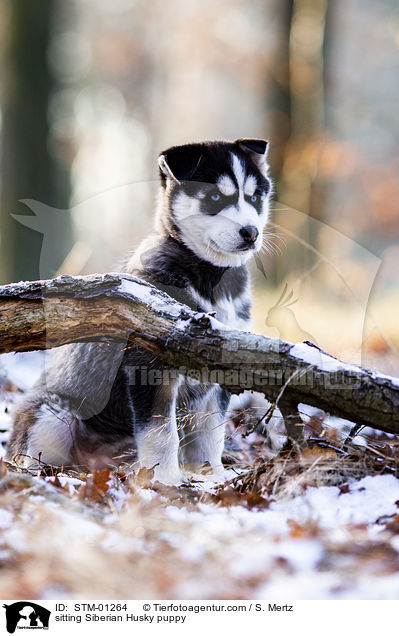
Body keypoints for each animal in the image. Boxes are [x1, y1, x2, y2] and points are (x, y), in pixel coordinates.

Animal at [7, 139, 272, 484]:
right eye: (214, 197)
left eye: (255, 197)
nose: (251, 232)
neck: (212, 282)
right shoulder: (149, 364)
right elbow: (161, 432)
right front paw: (167, 481)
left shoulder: (220, 367)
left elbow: (211, 434)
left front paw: (212, 476)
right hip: (52, 416)